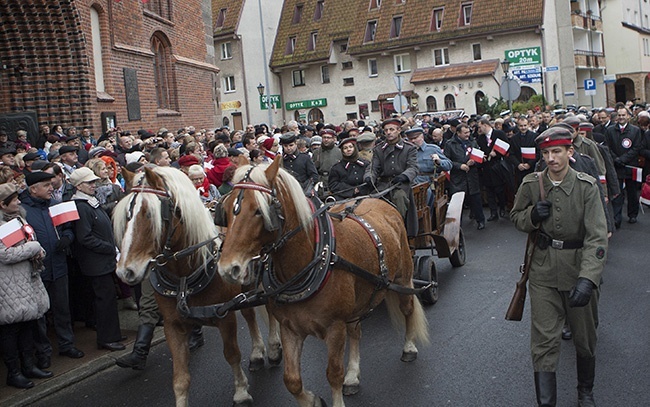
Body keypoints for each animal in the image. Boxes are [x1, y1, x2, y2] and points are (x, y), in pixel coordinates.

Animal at [114, 167, 280, 407]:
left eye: (149, 213)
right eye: (126, 216)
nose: (125, 271)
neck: (185, 277)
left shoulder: (225, 317)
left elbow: (232, 354)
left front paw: (241, 392)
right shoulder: (173, 325)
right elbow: (180, 378)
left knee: (269, 310)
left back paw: (274, 349)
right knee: (249, 315)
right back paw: (257, 354)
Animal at [215, 157, 428, 407]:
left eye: (259, 211)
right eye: (225, 211)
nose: (228, 268)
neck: (312, 259)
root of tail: (378, 199)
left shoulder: (334, 327)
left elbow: (333, 373)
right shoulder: (290, 328)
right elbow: (292, 380)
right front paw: (313, 400)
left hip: (403, 278)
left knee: (408, 309)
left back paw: (409, 347)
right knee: (356, 331)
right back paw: (353, 376)